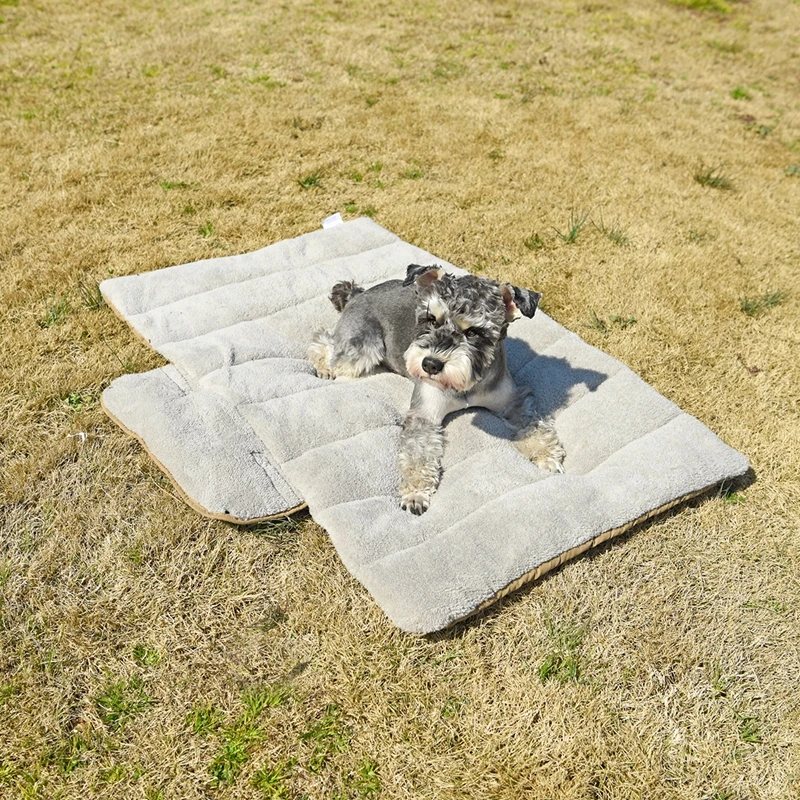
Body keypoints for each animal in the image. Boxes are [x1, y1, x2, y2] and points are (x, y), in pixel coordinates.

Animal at [306, 262, 564, 512]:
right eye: (431, 319)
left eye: (473, 332)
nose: (430, 364)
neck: (465, 387)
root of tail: (359, 294)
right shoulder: (424, 415)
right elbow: (417, 453)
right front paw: (415, 494)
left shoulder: (513, 399)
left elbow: (532, 425)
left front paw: (547, 455)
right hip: (362, 348)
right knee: (323, 341)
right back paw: (324, 367)